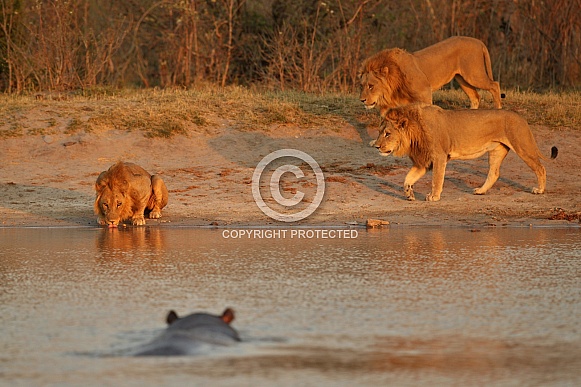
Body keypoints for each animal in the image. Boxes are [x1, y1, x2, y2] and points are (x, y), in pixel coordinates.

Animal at [356, 35, 500, 115]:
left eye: (371, 86)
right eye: (361, 86)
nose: (361, 100)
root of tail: (479, 41)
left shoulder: (424, 92)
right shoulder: (389, 106)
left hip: (473, 75)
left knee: (495, 85)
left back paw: (498, 109)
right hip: (462, 79)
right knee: (475, 96)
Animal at [372, 104, 556, 202]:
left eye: (387, 133)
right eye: (380, 132)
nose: (376, 147)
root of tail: (522, 118)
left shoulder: (439, 156)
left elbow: (436, 179)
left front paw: (434, 196)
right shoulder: (423, 161)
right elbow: (407, 179)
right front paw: (409, 194)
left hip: (522, 146)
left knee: (540, 168)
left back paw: (539, 190)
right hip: (496, 151)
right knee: (494, 173)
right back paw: (480, 191)